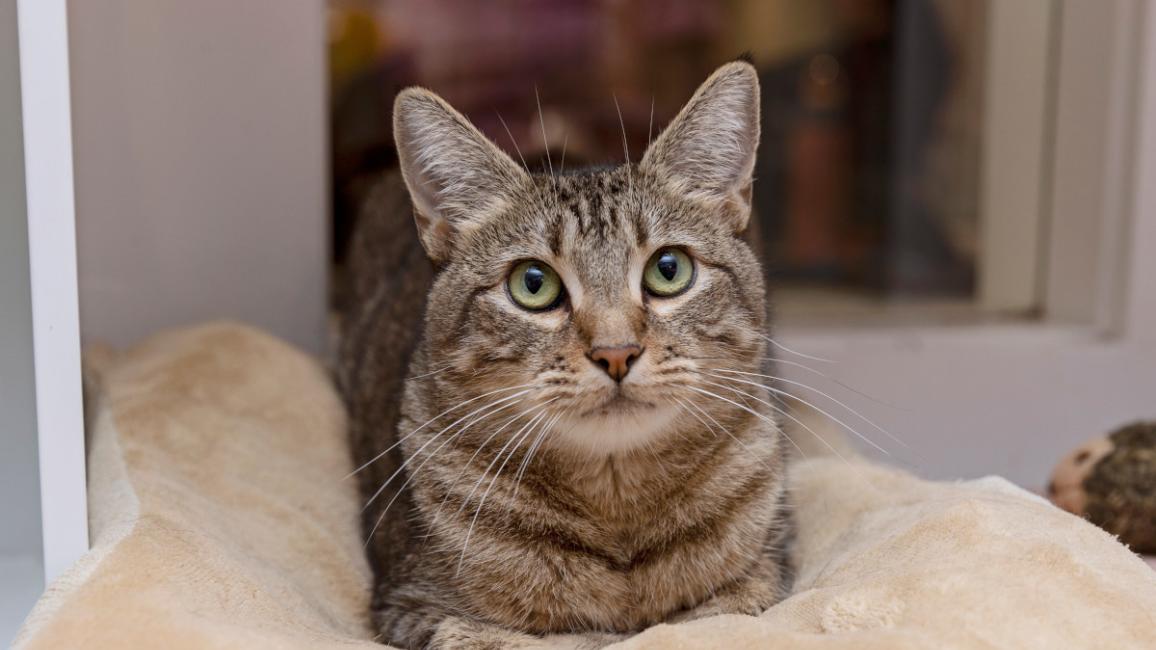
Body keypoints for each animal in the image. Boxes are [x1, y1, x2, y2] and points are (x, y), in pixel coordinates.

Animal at [339, 59, 795, 643]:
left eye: (669, 270)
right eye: (533, 283)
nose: (616, 352)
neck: (617, 507)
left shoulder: (768, 571)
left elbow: (715, 614)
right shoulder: (416, 606)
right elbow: (542, 639)